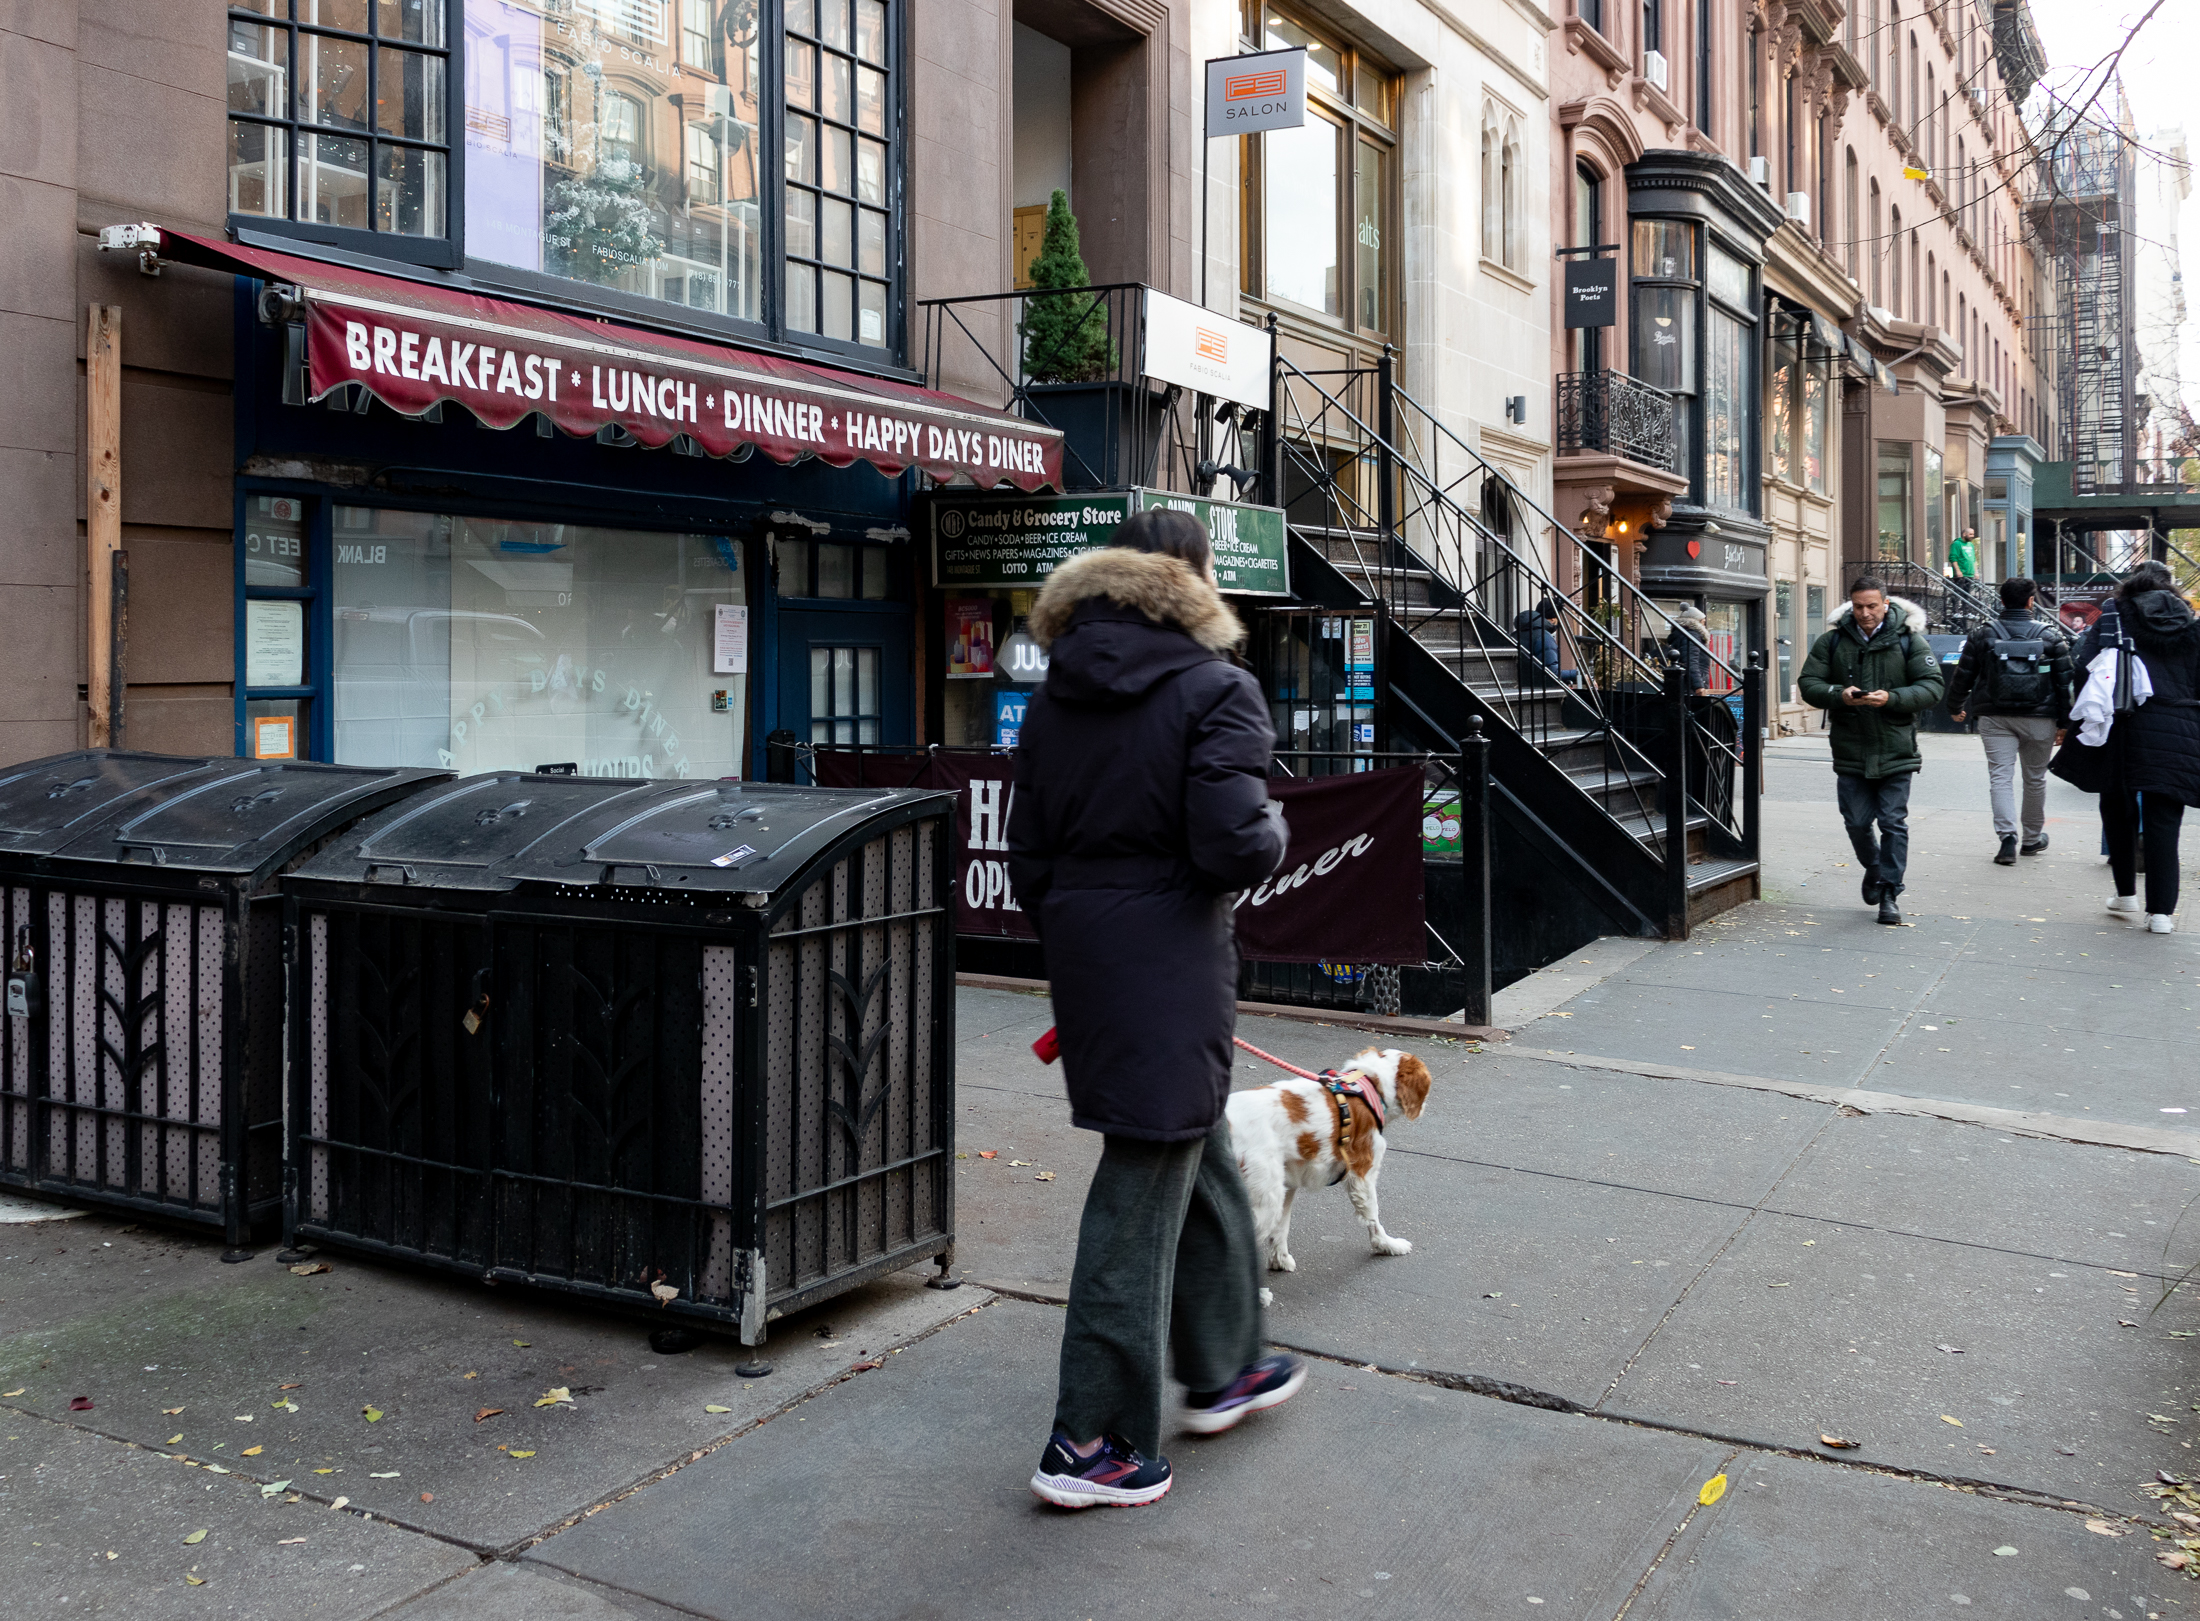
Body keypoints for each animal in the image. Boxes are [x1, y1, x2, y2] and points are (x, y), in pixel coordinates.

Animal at [1223, 1051, 1425, 1302]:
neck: (1368, 1084)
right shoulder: (1362, 1174)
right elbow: (1373, 1217)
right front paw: (1387, 1245)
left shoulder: (1289, 1184)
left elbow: (1281, 1228)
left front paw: (1280, 1260)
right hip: (1265, 1200)